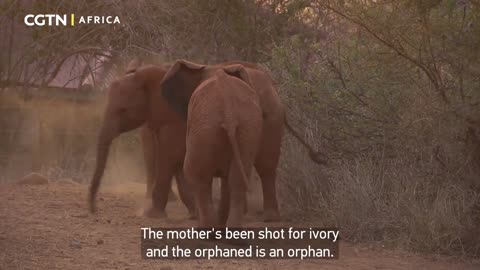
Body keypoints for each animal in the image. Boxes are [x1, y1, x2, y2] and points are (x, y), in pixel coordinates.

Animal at [160, 61, 262, 228]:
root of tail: (229, 111)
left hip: (205, 128)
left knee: (197, 175)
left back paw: (206, 230)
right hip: (247, 128)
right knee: (236, 179)